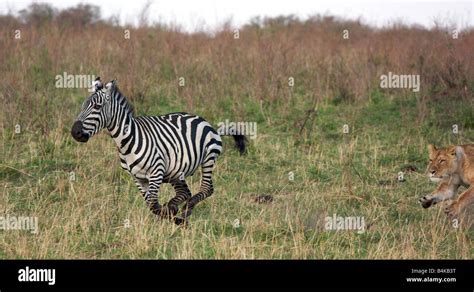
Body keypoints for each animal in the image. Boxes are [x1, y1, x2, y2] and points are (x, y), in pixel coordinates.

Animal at [73, 77, 248, 224]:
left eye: (97, 106)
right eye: (82, 106)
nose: (75, 132)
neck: (127, 140)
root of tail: (208, 124)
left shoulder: (156, 172)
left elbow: (153, 204)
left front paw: (175, 216)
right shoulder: (138, 178)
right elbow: (151, 205)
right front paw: (171, 212)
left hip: (208, 159)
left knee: (206, 189)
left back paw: (185, 211)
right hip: (177, 171)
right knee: (185, 193)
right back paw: (180, 209)